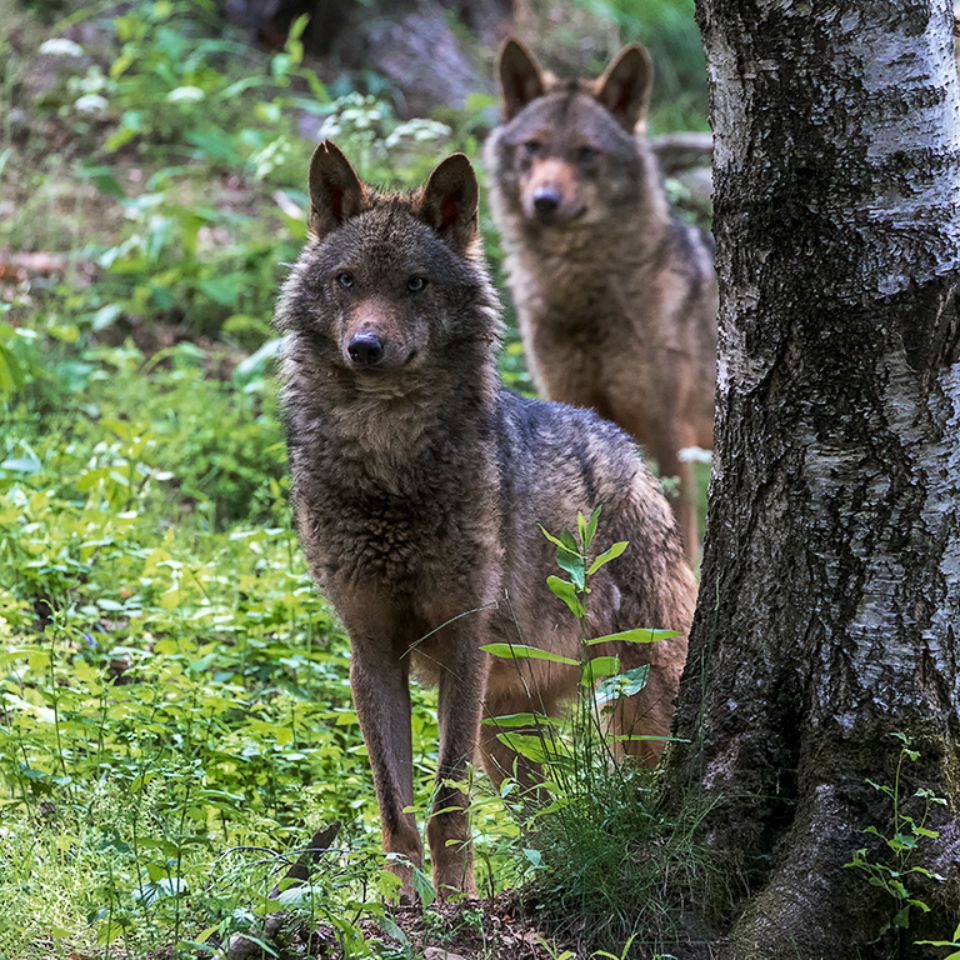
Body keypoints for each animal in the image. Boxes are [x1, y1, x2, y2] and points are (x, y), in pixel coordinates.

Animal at [274, 141, 697, 900]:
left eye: (415, 284)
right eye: (348, 281)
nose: (366, 347)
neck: (388, 462)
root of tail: (625, 447)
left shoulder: (461, 640)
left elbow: (446, 802)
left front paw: (454, 908)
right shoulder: (370, 649)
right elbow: (396, 808)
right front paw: (406, 906)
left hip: (639, 692)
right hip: (507, 736)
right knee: (544, 819)